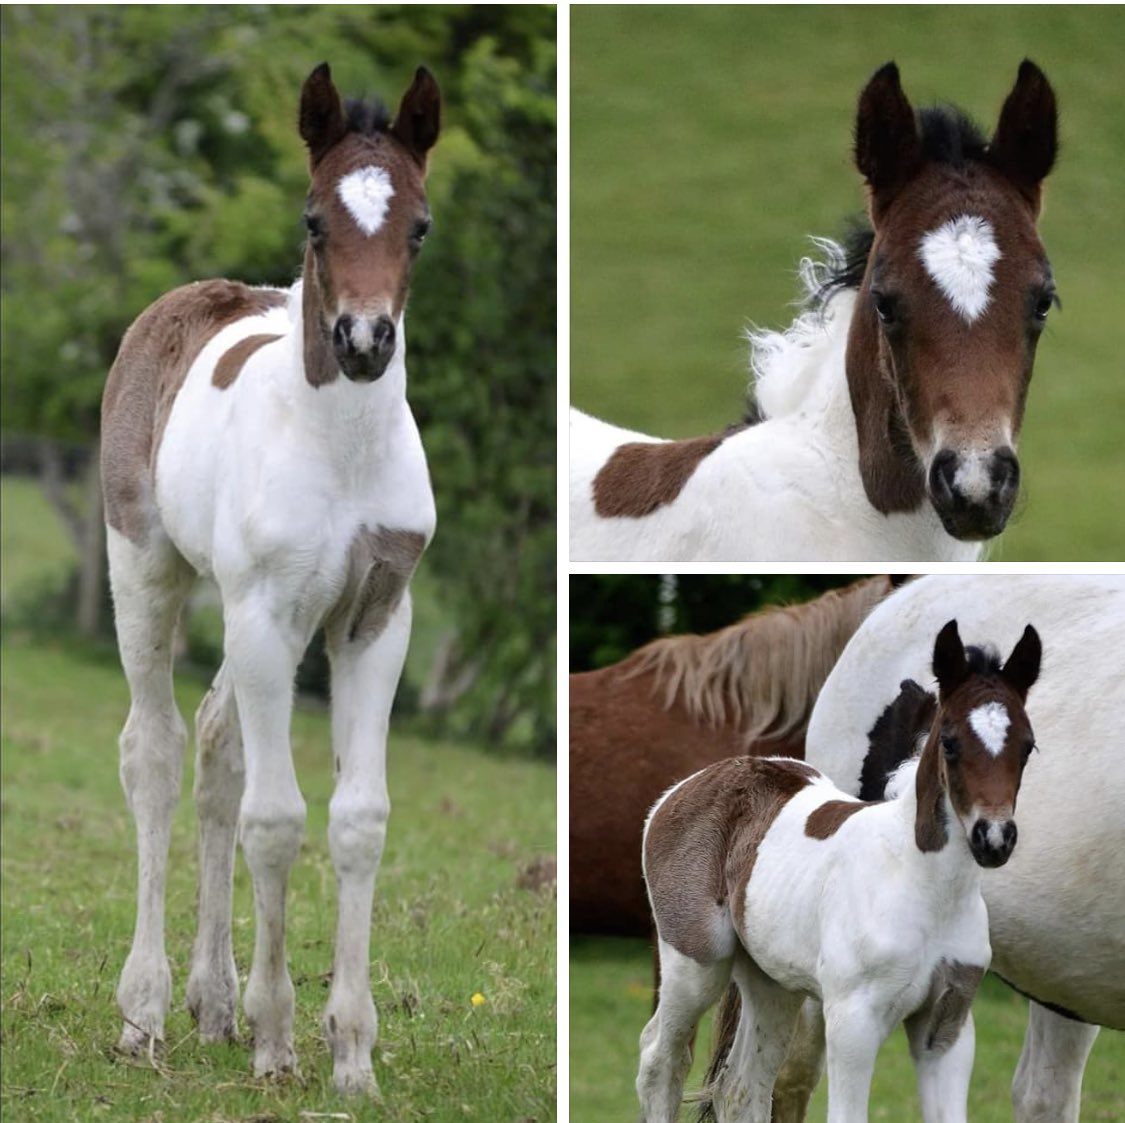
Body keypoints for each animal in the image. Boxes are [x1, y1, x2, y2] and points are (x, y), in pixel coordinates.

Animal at [99, 62, 440, 1096]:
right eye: (313, 219)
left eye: (419, 226)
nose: (364, 340)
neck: (341, 448)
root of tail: (191, 297)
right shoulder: (265, 615)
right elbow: (278, 817)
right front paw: (277, 1038)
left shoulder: (375, 619)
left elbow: (357, 818)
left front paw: (352, 1056)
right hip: (148, 568)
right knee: (157, 750)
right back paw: (144, 1011)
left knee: (215, 743)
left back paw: (209, 1000)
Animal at [639, 621, 1042, 1123]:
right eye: (949, 742)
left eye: (1027, 746)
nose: (994, 838)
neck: (921, 883)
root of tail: (677, 791)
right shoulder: (853, 1021)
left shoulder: (947, 1026)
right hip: (696, 964)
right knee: (660, 1059)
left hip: (771, 981)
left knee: (741, 1087)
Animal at [706, 575, 1125, 1123]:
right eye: (947, 742)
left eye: (1029, 747)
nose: (995, 839)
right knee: (773, 1084)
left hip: (1067, 970)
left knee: (1042, 1093)